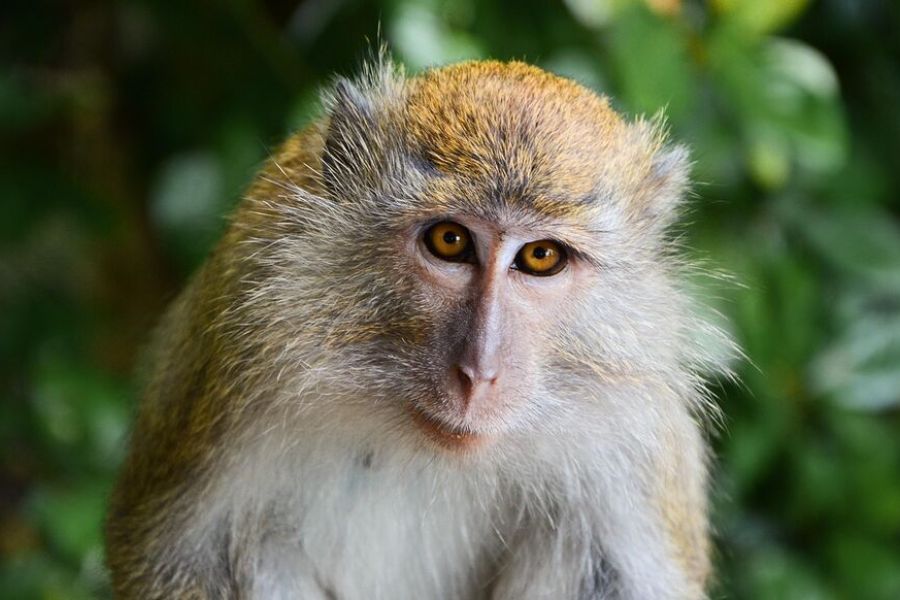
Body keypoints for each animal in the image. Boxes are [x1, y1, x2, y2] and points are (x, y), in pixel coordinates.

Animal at [105, 58, 730, 599]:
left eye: (542, 257)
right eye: (449, 241)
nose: (479, 373)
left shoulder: (636, 435)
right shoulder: (245, 340)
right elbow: (180, 553)